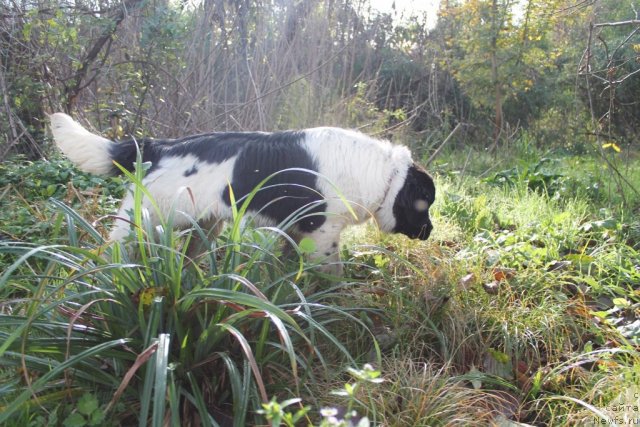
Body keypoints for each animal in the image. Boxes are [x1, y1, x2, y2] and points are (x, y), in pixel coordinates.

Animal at [50, 113, 436, 272]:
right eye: (425, 204)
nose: (431, 232)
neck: (385, 174)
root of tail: (155, 146)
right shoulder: (322, 231)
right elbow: (331, 271)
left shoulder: (296, 229)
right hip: (144, 223)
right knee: (111, 252)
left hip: (205, 226)